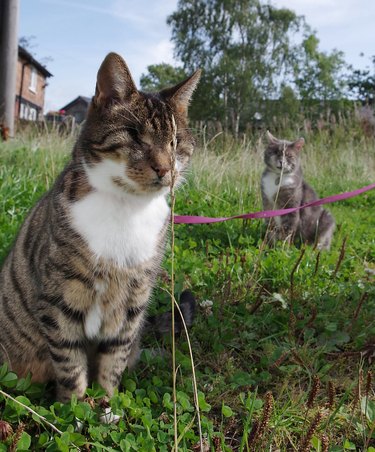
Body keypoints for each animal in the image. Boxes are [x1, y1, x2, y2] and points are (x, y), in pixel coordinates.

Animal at [0, 53, 201, 402]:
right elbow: (70, 366)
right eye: (134, 134)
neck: (126, 207)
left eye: (176, 143)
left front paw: (108, 405)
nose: (165, 168)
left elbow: (113, 362)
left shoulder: (133, 304)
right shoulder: (60, 300)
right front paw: (75, 408)